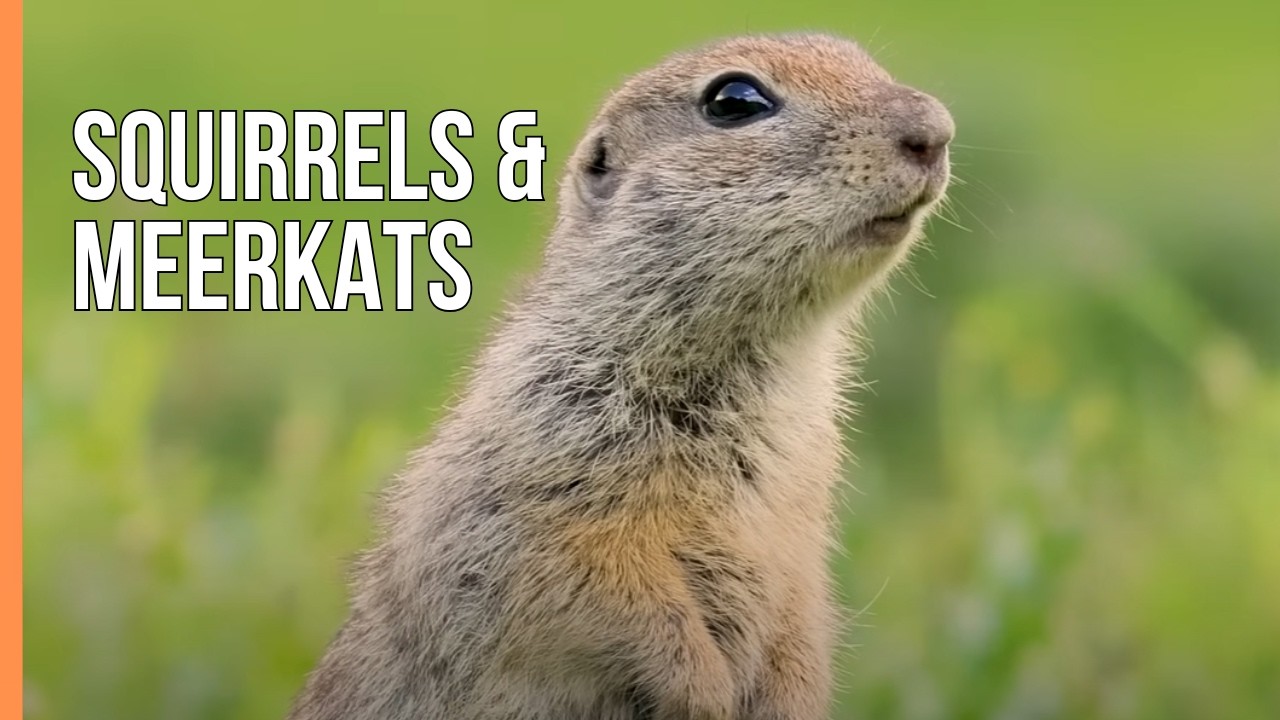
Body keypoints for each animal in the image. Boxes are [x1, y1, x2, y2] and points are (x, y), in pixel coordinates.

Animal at [287, 32, 953, 720]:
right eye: (735, 100)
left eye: (863, 60)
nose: (936, 129)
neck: (764, 362)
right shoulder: (537, 502)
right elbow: (607, 593)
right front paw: (705, 694)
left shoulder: (799, 533)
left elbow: (801, 612)